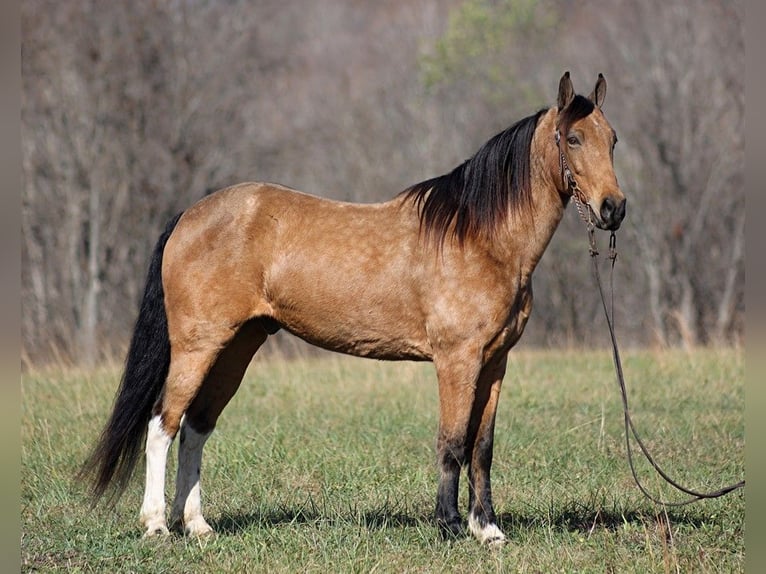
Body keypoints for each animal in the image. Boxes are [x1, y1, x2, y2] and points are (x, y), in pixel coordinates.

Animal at [81, 74, 628, 548]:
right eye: (572, 138)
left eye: (613, 139)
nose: (613, 209)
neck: (480, 238)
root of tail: (189, 216)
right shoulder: (457, 360)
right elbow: (452, 441)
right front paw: (450, 526)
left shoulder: (494, 363)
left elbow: (482, 447)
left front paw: (488, 529)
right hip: (198, 346)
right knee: (163, 424)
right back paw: (156, 525)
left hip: (237, 347)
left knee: (196, 427)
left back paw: (196, 525)